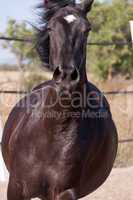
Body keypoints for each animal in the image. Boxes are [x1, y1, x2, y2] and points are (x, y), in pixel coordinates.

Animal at [1, 0, 117, 199]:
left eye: (87, 29)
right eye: (50, 27)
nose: (67, 77)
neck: (53, 133)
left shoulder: (65, 191)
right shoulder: (15, 187)